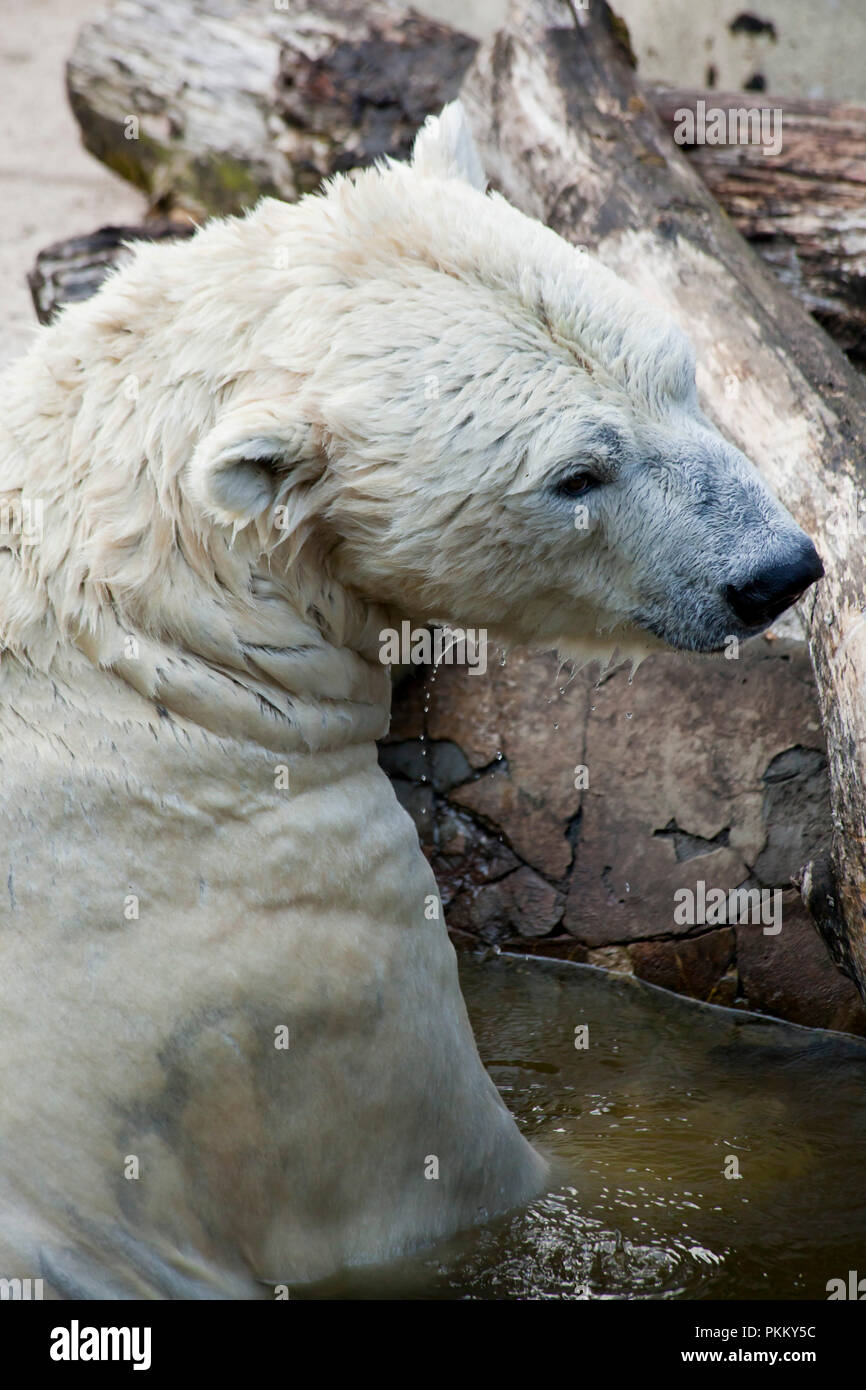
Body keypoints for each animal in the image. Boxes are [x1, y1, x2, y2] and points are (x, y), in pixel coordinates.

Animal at [0, 102, 817, 1295]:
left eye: (678, 370)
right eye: (576, 476)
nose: (773, 572)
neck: (131, 645)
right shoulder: (297, 971)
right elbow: (475, 1181)